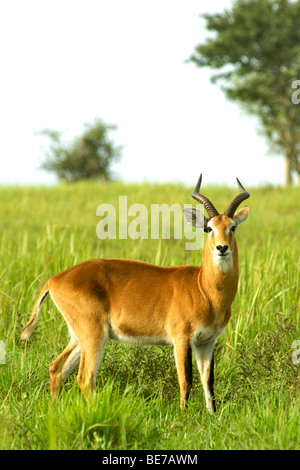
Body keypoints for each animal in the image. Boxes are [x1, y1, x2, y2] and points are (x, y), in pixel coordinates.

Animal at [21, 175, 250, 412]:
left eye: (232, 227)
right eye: (208, 228)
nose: (222, 248)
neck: (204, 289)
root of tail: (54, 280)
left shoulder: (206, 341)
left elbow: (208, 382)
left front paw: (212, 417)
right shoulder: (182, 339)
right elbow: (186, 380)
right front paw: (184, 417)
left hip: (78, 336)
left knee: (57, 368)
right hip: (94, 335)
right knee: (85, 377)